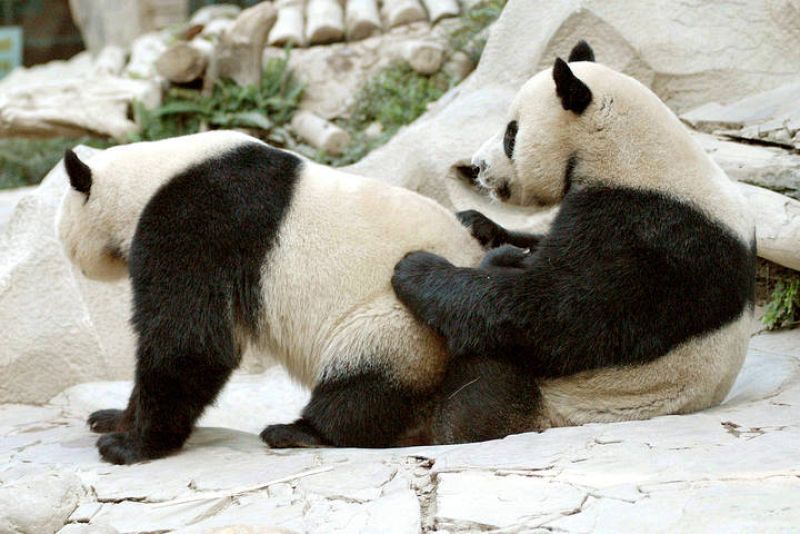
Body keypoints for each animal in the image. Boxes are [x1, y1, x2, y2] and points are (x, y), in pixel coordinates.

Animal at [57, 130, 485, 464]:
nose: (73, 260)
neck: (152, 176)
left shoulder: (198, 221)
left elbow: (191, 341)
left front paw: (130, 445)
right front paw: (110, 418)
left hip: (399, 319)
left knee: (367, 380)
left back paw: (301, 432)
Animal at [392, 41, 757, 443]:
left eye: (510, 134)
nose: (478, 166)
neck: (629, 150)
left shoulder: (647, 233)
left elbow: (552, 313)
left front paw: (416, 268)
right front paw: (476, 223)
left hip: (564, 403)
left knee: (486, 385)